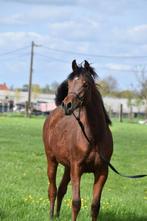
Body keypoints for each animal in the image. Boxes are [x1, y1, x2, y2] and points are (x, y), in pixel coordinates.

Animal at [43, 59, 113, 220]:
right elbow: (76, 203)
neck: (94, 138)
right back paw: (51, 215)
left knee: (61, 189)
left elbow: (95, 206)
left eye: (85, 84)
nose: (67, 105)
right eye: (69, 84)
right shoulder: (77, 169)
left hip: (67, 166)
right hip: (52, 160)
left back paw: (57, 215)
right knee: (52, 189)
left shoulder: (102, 172)